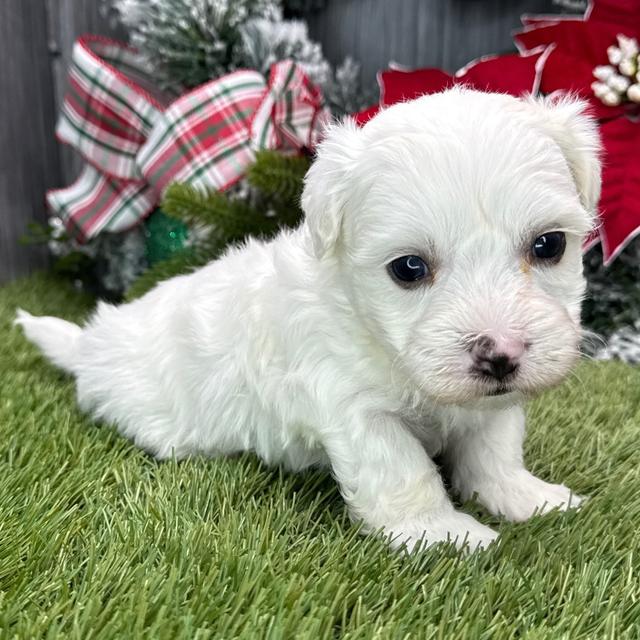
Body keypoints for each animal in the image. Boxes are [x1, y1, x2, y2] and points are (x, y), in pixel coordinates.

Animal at [18, 89, 600, 552]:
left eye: (549, 245)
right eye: (409, 268)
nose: (501, 354)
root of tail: (92, 342)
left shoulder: (493, 403)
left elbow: (495, 448)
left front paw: (526, 496)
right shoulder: (351, 402)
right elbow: (400, 466)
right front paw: (441, 533)